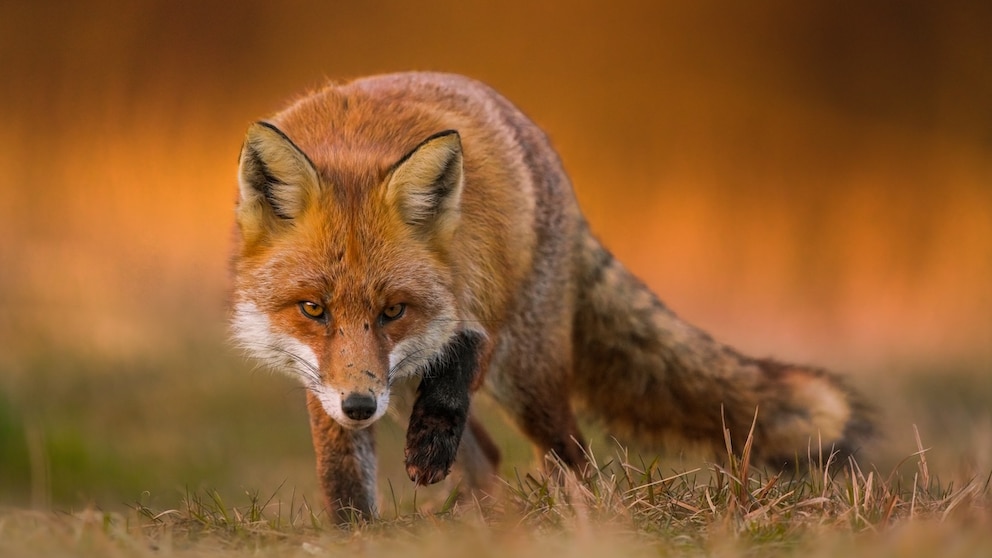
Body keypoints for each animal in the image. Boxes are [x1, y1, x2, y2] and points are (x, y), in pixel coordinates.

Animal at [229, 72, 872, 524]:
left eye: (394, 310)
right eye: (314, 309)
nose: (362, 406)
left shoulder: (481, 303)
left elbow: (458, 365)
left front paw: (431, 445)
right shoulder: (326, 381)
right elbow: (342, 477)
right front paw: (355, 535)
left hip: (529, 381)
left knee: (572, 456)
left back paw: (577, 520)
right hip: (412, 383)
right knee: (489, 456)